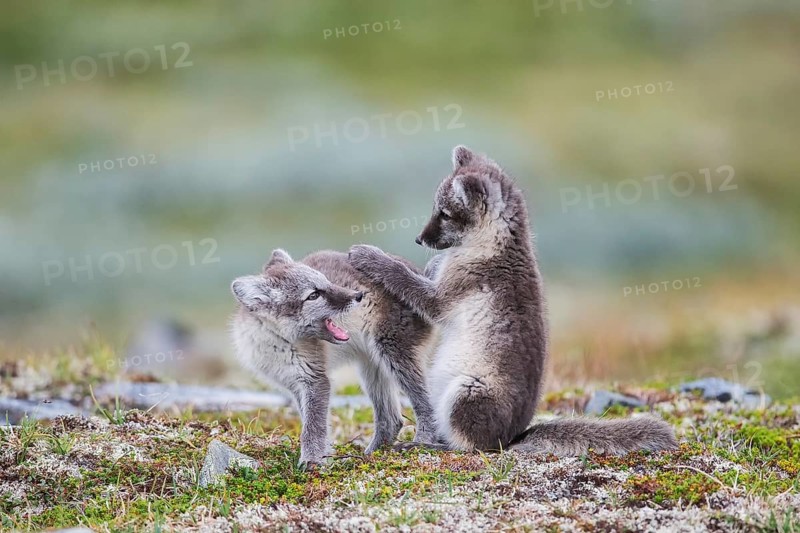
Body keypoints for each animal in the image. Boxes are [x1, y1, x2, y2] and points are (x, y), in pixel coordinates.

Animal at [230, 249, 438, 468]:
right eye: (313, 295)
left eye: (327, 281)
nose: (358, 295)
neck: (277, 340)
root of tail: (421, 276)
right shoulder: (295, 384)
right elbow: (311, 423)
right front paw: (324, 456)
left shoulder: (316, 379)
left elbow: (313, 428)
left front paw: (312, 463)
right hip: (371, 369)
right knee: (392, 420)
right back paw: (373, 454)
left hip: (394, 354)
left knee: (425, 405)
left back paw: (421, 443)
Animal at [349, 145, 677, 455]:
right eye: (435, 208)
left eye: (444, 213)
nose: (419, 239)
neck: (495, 244)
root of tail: (513, 436)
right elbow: (428, 271)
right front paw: (426, 263)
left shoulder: (443, 297)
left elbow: (405, 279)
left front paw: (369, 256)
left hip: (467, 391)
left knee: (471, 447)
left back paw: (425, 445)